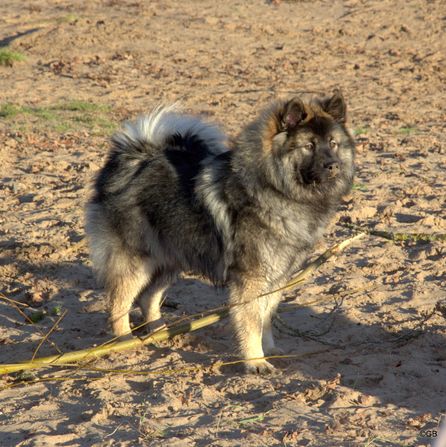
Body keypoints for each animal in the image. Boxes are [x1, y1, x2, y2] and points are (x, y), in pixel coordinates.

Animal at [85, 91, 354, 374]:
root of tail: (132, 157)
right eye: (309, 146)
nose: (333, 166)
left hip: (169, 258)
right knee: (119, 302)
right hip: (138, 261)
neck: (276, 189)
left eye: (333, 144)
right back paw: (125, 341)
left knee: (148, 297)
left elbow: (266, 317)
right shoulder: (251, 279)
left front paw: (268, 349)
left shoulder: (276, 277)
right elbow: (252, 322)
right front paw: (255, 361)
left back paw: (158, 332)